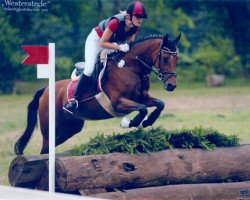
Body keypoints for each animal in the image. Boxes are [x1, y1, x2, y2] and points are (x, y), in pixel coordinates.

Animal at [14, 32, 182, 155]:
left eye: (177, 59)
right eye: (165, 58)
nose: (171, 85)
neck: (130, 68)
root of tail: (46, 89)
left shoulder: (142, 97)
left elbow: (159, 104)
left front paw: (148, 122)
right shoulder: (118, 102)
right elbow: (142, 109)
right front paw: (129, 123)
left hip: (70, 127)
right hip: (50, 127)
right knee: (45, 150)